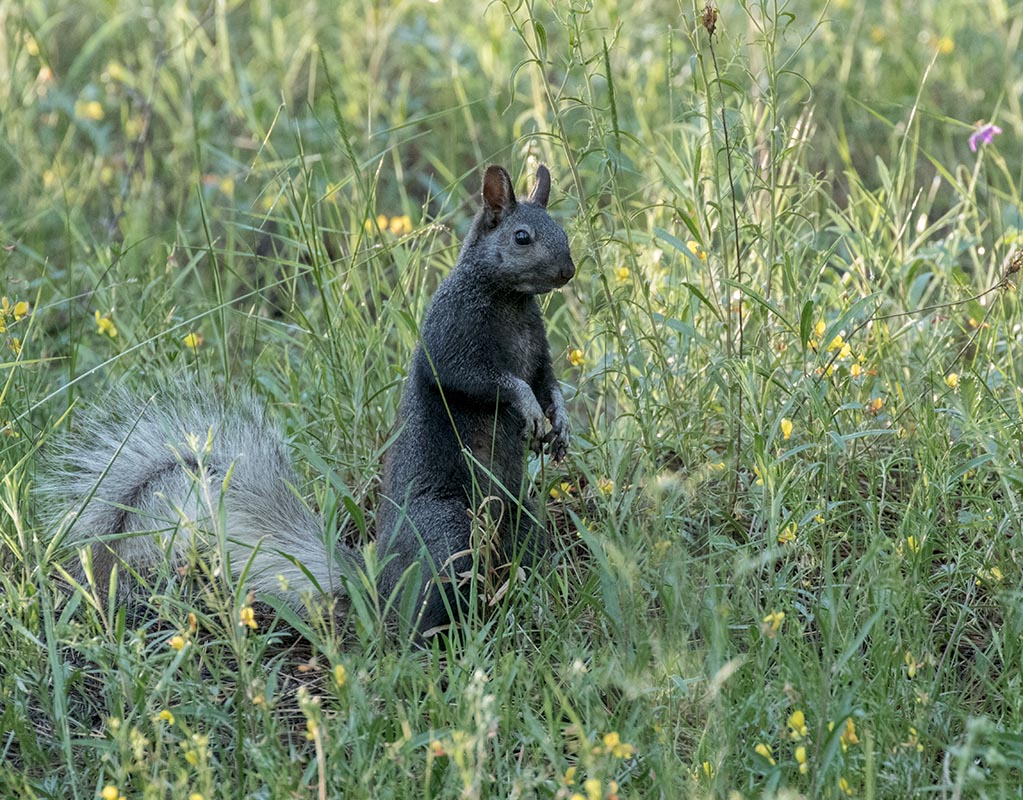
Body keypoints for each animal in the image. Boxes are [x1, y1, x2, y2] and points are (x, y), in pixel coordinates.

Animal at [39, 165, 576, 634]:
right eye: (522, 237)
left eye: (563, 229)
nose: (568, 271)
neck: (511, 300)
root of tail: (377, 583)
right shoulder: (451, 334)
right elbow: (481, 380)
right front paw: (529, 408)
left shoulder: (538, 352)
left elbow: (548, 383)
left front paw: (560, 422)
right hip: (445, 530)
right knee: (420, 607)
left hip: (523, 518)